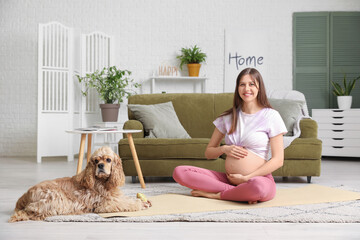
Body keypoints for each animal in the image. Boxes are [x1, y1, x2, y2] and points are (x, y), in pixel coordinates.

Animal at [9, 145, 150, 222]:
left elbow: (126, 199)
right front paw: (141, 204)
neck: (102, 181)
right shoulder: (104, 204)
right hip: (56, 199)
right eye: (96, 160)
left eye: (108, 160)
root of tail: (25, 195)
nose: (100, 165)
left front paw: (145, 201)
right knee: (29, 211)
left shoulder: (115, 197)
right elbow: (126, 203)